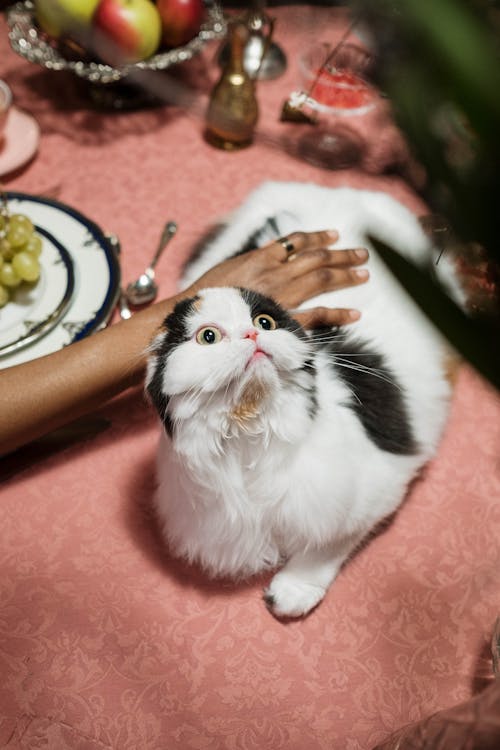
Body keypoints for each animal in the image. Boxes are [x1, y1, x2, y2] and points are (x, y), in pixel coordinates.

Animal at [146, 181, 464, 616]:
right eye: (208, 336)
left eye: (265, 322)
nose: (253, 335)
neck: (250, 439)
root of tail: (346, 190)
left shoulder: (376, 485)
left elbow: (327, 545)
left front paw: (293, 591)